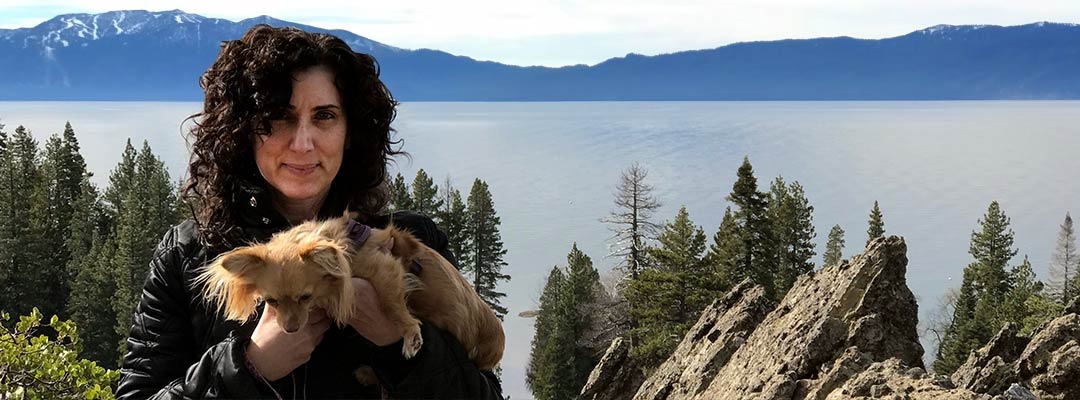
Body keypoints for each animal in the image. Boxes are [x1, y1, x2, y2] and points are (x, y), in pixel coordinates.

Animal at [197, 214, 505, 374]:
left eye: (306, 297)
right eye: (271, 301)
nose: (291, 329)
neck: (346, 251)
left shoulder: (385, 271)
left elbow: (393, 306)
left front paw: (410, 334)